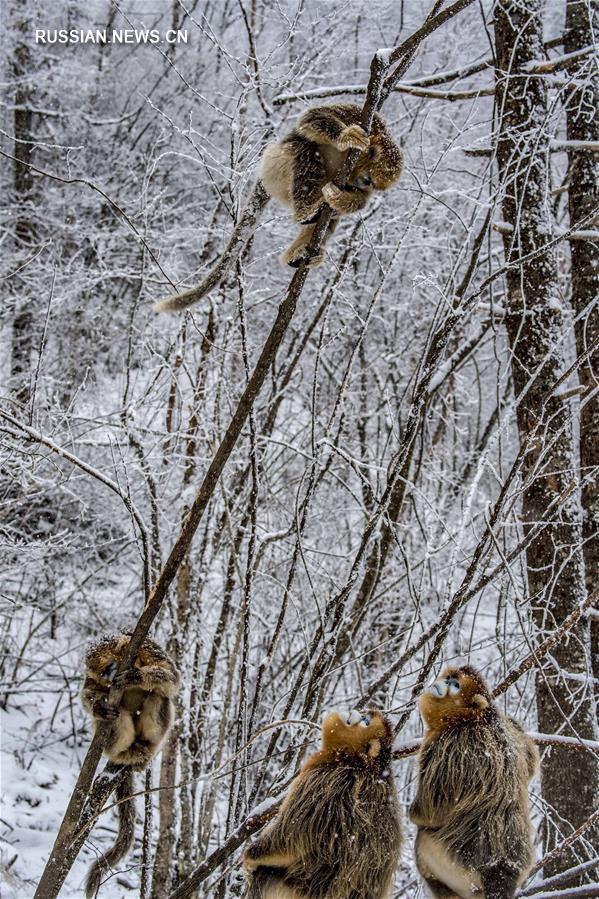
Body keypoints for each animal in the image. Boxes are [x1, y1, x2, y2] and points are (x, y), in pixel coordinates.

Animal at [81, 632, 182, 899]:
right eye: (103, 671)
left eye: (109, 666)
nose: (109, 676)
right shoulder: (92, 678)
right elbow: (89, 691)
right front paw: (99, 705)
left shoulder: (147, 646)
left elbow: (171, 675)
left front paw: (135, 677)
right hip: (113, 740)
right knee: (114, 716)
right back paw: (123, 749)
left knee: (159, 695)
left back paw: (144, 749)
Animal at [243, 712, 404, 899]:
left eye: (366, 722)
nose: (359, 713)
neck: (359, 763)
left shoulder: (325, 782)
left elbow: (291, 837)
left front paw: (249, 857)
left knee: (264, 874)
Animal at [410, 664, 540, 899]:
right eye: (449, 678)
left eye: (456, 685)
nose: (443, 684)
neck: (479, 718)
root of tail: (500, 872)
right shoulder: (512, 727)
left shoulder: (447, 746)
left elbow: (431, 812)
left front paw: (415, 814)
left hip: (450, 864)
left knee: (423, 841)